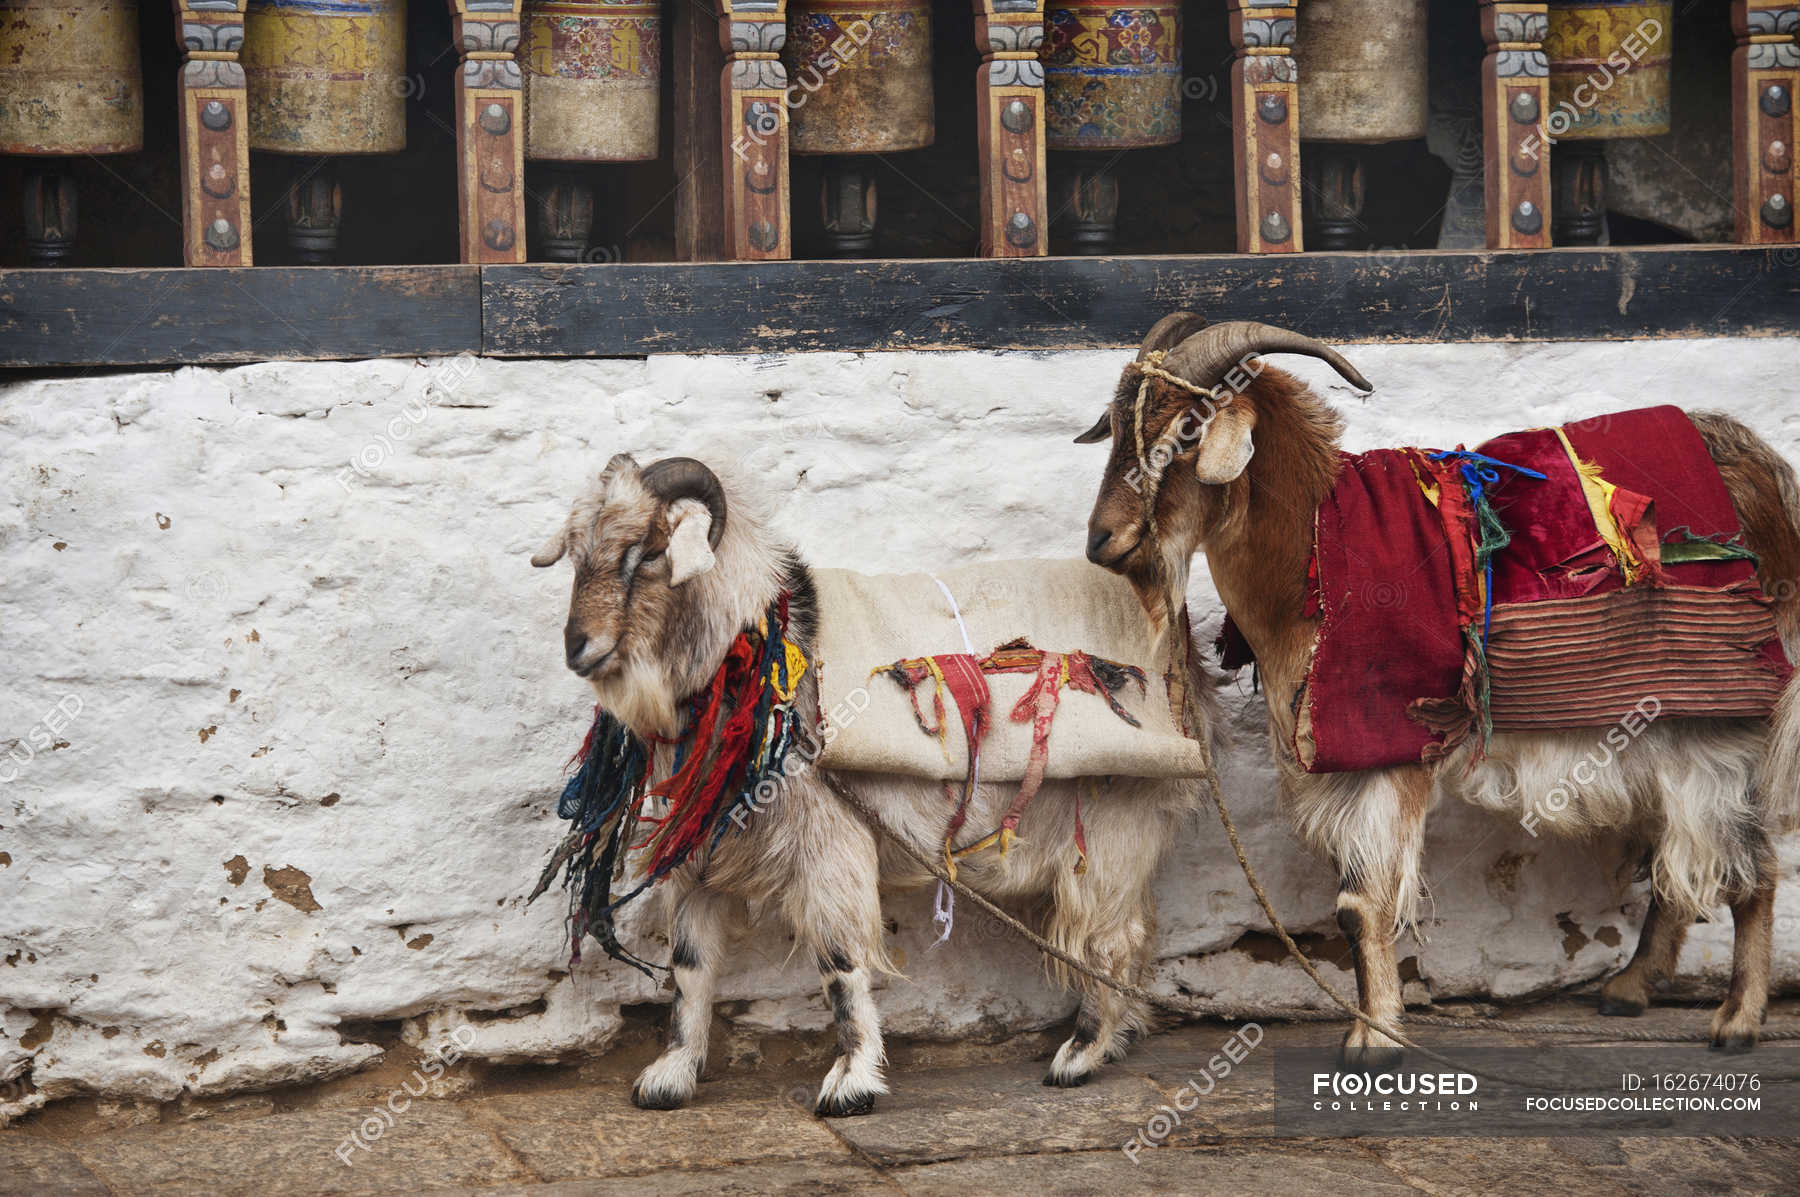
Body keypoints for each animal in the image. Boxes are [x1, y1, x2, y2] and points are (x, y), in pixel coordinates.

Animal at [531, 453, 1218, 1113]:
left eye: (648, 551)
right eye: (576, 553)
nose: (577, 646)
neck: (762, 659)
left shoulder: (828, 843)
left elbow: (841, 963)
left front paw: (852, 1084)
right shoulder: (700, 855)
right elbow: (690, 967)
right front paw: (670, 1077)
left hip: (1113, 827)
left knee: (1112, 940)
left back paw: (1080, 1055)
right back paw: (1118, 1037)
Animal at [1079, 314, 1800, 1063]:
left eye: (1187, 430)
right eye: (1119, 425)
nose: (1102, 540)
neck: (1314, 547)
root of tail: (1761, 467)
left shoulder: (1389, 747)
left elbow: (1361, 905)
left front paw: (1376, 1037)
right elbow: (1353, 903)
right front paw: (1370, 1025)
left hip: (1726, 719)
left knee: (1753, 865)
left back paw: (1737, 1019)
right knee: (1678, 856)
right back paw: (1630, 987)